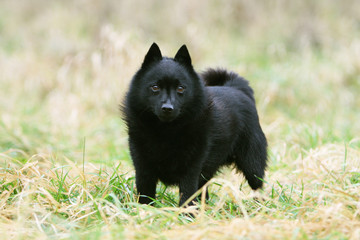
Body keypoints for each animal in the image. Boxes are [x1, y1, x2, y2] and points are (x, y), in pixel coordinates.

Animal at [122, 43, 266, 206]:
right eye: (155, 87)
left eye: (180, 88)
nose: (167, 108)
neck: (166, 131)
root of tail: (236, 88)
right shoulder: (143, 168)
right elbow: (145, 194)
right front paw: (144, 209)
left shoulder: (190, 170)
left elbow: (187, 195)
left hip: (252, 165)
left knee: (257, 185)